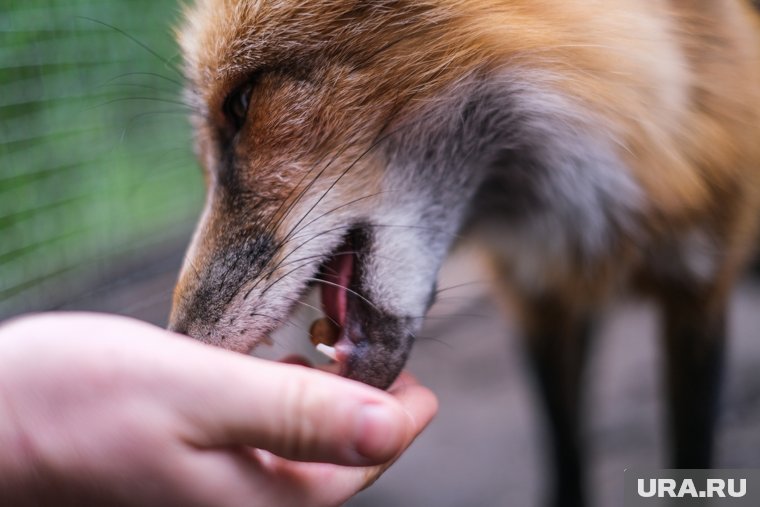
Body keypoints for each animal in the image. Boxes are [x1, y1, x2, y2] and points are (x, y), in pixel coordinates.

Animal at [169, 1, 760, 506]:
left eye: (242, 103)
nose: (178, 344)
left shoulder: (698, 290)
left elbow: (691, 446)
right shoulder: (537, 295)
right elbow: (565, 446)